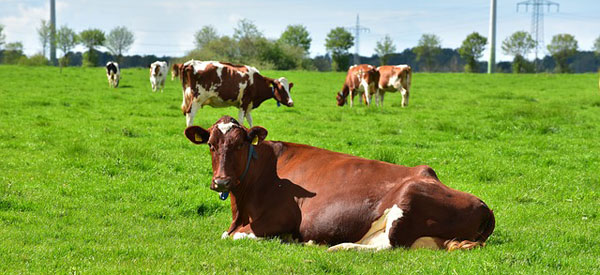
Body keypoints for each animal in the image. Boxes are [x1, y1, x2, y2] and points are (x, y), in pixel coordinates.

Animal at [185, 116, 494, 252]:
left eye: (240, 144)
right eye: (211, 145)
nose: (221, 181)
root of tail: (484, 205)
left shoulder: (279, 219)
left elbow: (234, 236)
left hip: (408, 198)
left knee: (388, 246)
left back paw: (338, 247)